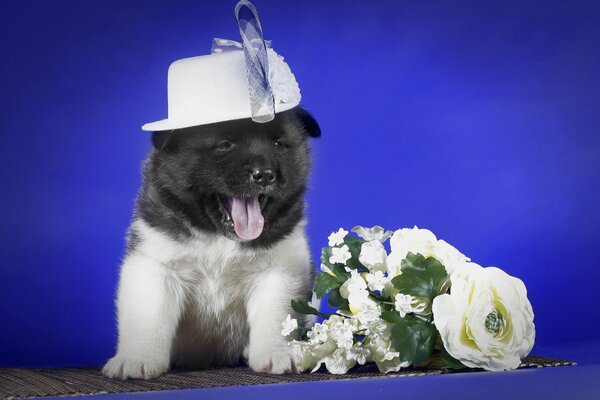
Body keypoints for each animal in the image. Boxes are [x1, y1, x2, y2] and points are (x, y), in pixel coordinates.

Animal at [101, 108, 322, 380]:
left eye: (278, 144)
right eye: (225, 145)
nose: (265, 175)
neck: (219, 237)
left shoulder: (279, 270)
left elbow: (276, 315)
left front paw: (276, 353)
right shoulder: (156, 263)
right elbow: (148, 316)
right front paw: (137, 358)